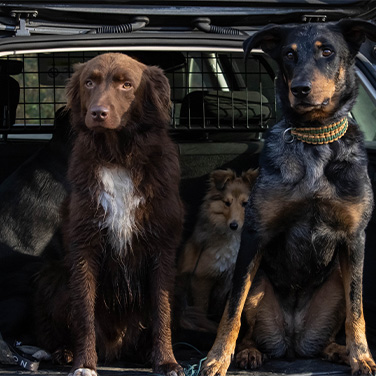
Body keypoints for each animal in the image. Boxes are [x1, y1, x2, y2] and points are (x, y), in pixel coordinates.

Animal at [35, 53, 185, 376]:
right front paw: (84, 364)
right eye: (89, 82)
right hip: (53, 276)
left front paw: (166, 361)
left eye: (126, 85)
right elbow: (84, 312)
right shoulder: (84, 245)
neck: (118, 157)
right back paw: (64, 352)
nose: (98, 113)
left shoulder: (163, 248)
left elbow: (162, 310)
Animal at [201, 19, 376, 376]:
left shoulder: (355, 238)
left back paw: (338, 350)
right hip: (257, 284)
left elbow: (357, 309)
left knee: (331, 330)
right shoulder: (255, 235)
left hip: (335, 285)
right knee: (247, 320)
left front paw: (361, 357)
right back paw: (248, 353)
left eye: (327, 51)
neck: (316, 139)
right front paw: (217, 358)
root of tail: (293, 342)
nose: (301, 89)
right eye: (289, 54)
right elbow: (233, 309)